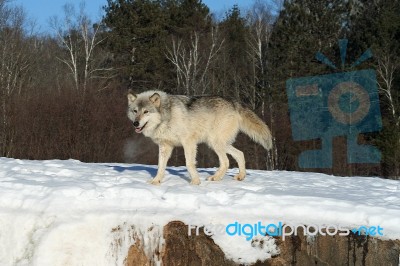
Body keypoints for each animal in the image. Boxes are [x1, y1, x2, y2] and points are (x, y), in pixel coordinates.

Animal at [126, 90, 274, 185]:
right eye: (135, 111)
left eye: (146, 112)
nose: (135, 123)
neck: (166, 117)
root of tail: (234, 102)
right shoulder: (165, 146)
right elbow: (160, 166)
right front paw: (155, 181)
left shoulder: (189, 143)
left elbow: (189, 164)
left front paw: (195, 182)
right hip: (217, 143)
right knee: (240, 154)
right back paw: (240, 176)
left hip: (215, 143)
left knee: (226, 161)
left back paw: (215, 178)